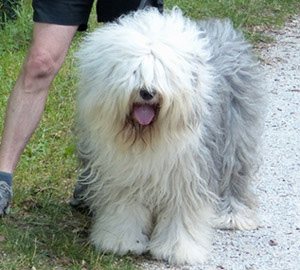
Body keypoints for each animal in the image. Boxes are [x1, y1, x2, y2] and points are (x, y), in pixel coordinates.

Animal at [75, 7, 264, 264]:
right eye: (135, 71)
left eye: (163, 73)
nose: (147, 92)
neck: (147, 137)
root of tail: (223, 28)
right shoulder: (121, 174)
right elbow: (124, 207)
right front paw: (122, 241)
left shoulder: (188, 173)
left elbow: (182, 212)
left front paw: (177, 249)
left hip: (235, 136)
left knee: (234, 175)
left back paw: (233, 215)